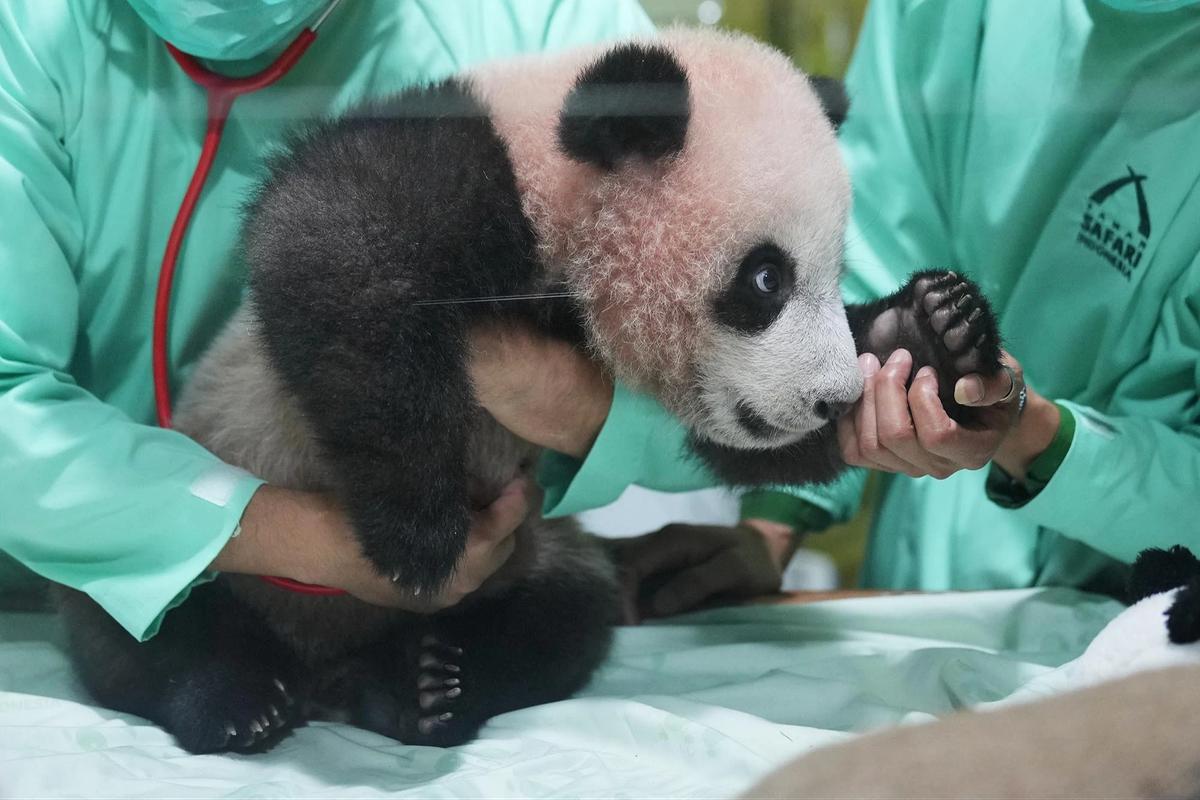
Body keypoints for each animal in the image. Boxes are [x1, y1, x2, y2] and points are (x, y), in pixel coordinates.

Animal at [57, 28, 1002, 754]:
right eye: (766, 279)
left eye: (832, 274)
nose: (832, 401)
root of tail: (324, 659)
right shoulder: (465, 166)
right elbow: (332, 248)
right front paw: (418, 533)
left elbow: (729, 447)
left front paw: (930, 330)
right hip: (211, 517)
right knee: (139, 626)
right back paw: (241, 701)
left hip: (534, 554)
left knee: (565, 616)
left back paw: (420, 686)